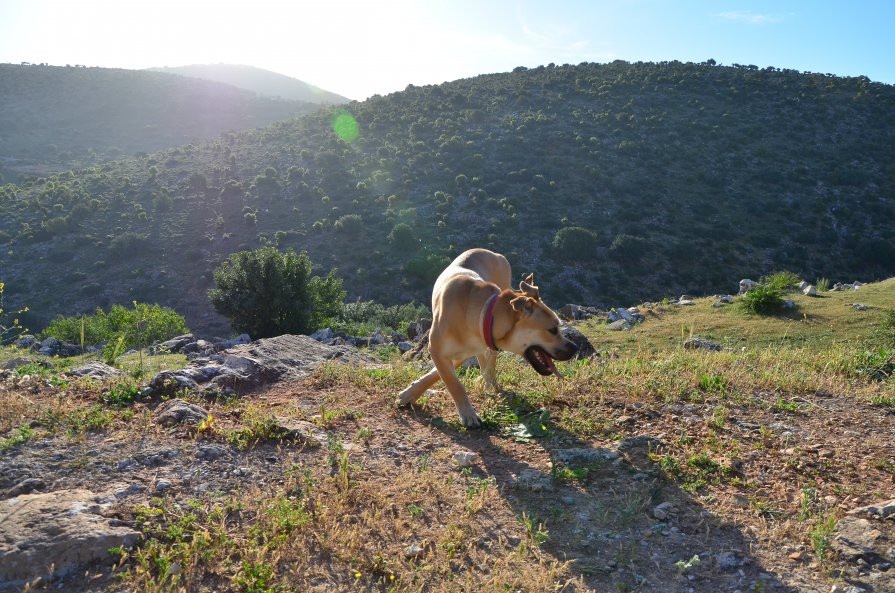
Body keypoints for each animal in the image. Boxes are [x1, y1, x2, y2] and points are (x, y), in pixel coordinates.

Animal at [396, 249, 576, 426]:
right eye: (553, 329)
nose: (575, 348)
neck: (481, 316)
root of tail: (492, 252)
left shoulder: (463, 353)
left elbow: (441, 376)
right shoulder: (438, 350)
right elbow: (452, 382)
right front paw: (411, 394)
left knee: (490, 362)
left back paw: (489, 383)